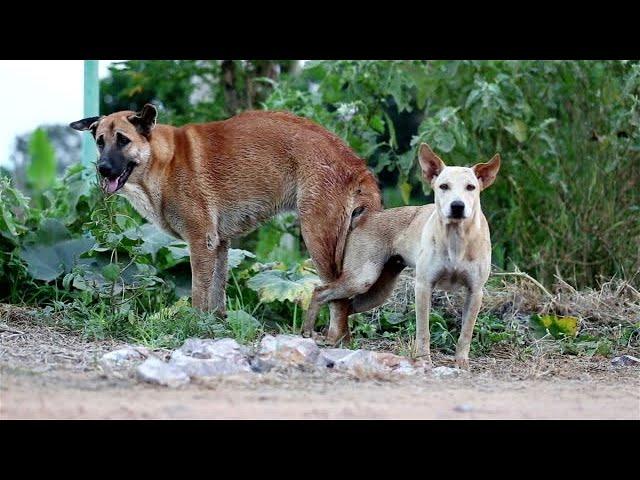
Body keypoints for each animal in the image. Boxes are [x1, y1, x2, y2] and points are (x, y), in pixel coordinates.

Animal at [71, 104, 380, 342]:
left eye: (123, 140)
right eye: (100, 142)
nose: (103, 169)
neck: (163, 162)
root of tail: (355, 163)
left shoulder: (200, 243)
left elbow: (199, 294)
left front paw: (191, 327)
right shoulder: (219, 244)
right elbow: (217, 295)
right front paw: (214, 328)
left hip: (318, 240)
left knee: (337, 299)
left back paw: (334, 339)